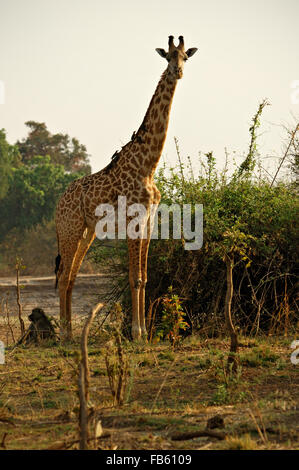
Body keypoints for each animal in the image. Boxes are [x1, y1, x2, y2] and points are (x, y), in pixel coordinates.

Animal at [55, 35, 198, 340]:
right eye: (168, 57)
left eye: (185, 57)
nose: (178, 71)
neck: (149, 165)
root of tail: (57, 205)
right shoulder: (134, 219)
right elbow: (133, 278)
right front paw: (136, 332)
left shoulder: (149, 221)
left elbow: (144, 278)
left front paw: (144, 333)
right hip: (70, 229)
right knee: (62, 277)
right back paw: (64, 335)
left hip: (86, 233)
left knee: (70, 276)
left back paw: (71, 332)